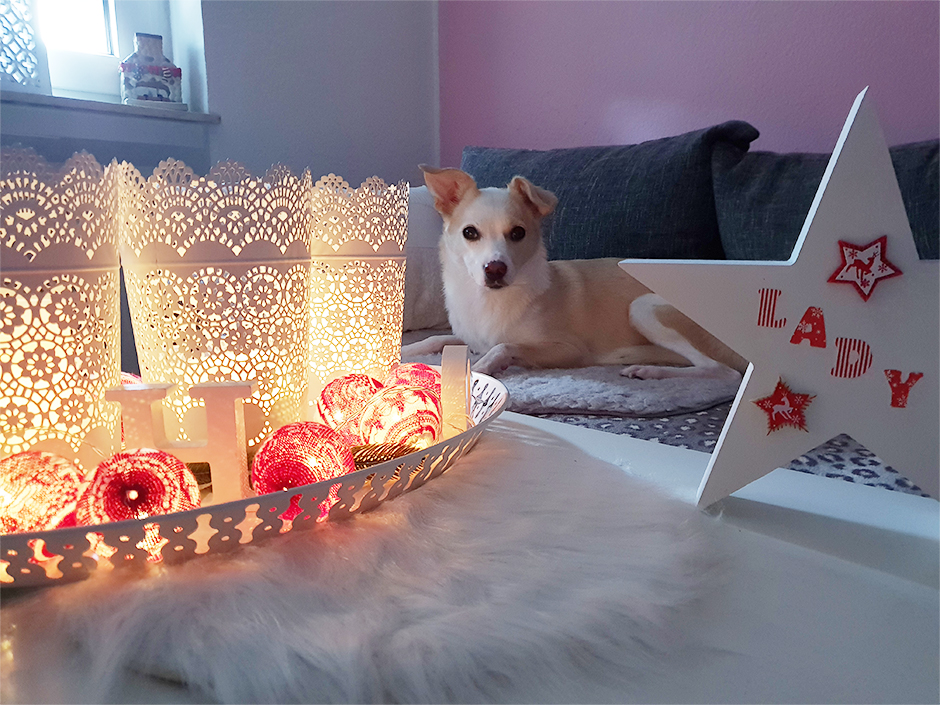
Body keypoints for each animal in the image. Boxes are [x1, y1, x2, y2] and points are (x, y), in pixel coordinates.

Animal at [404, 166, 748, 382]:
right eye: (470, 233)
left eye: (518, 233)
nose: (495, 269)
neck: (486, 301)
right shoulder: (467, 336)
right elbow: (436, 337)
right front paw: (403, 350)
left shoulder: (568, 350)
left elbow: (505, 347)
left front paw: (482, 367)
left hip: (644, 307)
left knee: (721, 370)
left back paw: (651, 371)